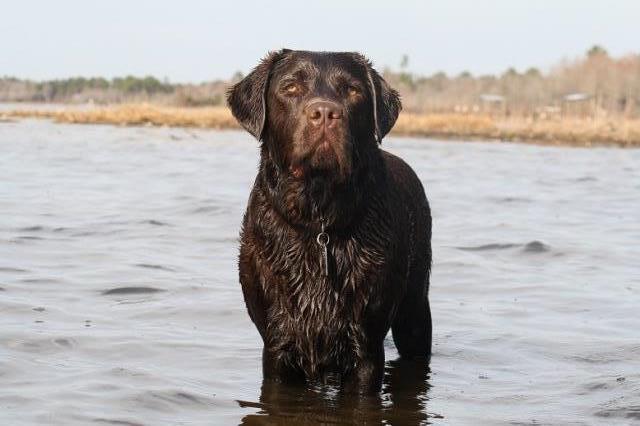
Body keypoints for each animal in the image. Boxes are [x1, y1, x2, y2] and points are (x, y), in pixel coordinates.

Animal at [228, 49, 432, 392]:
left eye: (352, 91)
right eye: (291, 87)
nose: (325, 112)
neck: (319, 223)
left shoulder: (366, 350)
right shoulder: (277, 348)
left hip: (415, 311)